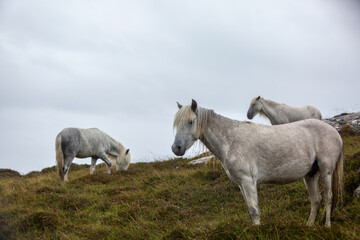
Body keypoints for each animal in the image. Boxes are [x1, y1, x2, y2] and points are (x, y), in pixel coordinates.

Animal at [172, 100, 344, 228]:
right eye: (176, 124)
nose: (176, 148)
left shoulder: (248, 182)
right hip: (310, 175)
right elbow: (250, 210)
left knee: (328, 197)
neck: (231, 141)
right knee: (316, 200)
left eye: (191, 121)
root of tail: (335, 132)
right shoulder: (241, 184)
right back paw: (309, 226)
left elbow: (254, 211)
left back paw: (327, 226)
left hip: (326, 171)